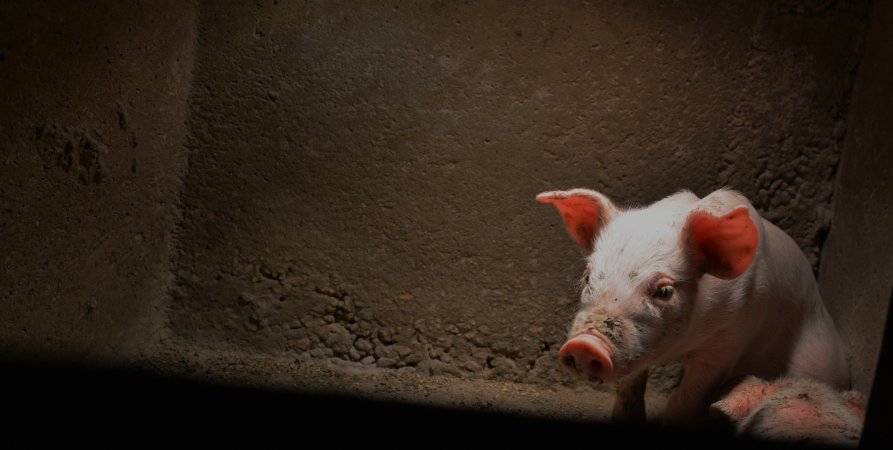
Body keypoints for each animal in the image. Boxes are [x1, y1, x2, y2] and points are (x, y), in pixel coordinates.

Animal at [536, 187, 852, 426]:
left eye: (664, 291)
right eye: (588, 276)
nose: (585, 345)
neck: (683, 347)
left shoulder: (730, 339)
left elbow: (684, 400)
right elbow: (629, 390)